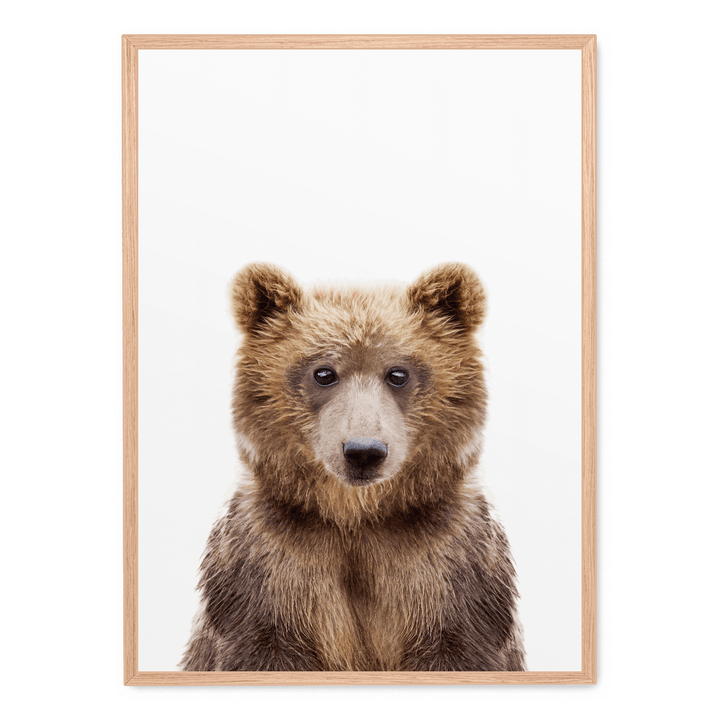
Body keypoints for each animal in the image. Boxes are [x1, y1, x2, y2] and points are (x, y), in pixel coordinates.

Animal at [181, 262, 526, 672]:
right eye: (324, 372)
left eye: (398, 373)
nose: (363, 451)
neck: (357, 517)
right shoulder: (268, 566)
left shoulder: (450, 566)